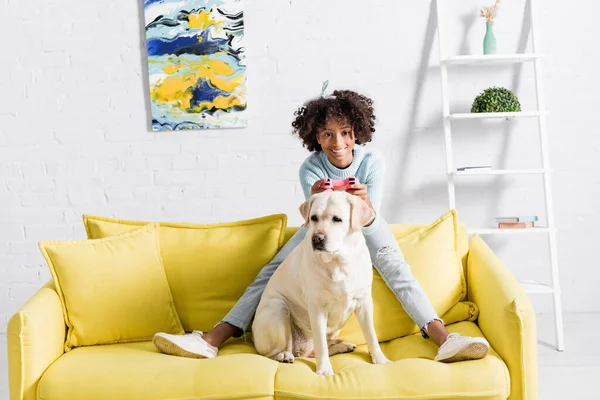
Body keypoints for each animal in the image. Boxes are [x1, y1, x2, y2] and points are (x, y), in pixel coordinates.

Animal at [251, 191, 392, 376]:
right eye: (314, 218)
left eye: (337, 219)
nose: (317, 238)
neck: (338, 261)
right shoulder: (317, 307)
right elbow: (321, 346)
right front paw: (324, 369)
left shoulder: (364, 303)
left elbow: (371, 334)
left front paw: (380, 359)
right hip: (278, 308)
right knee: (272, 352)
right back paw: (284, 355)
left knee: (314, 349)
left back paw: (343, 346)